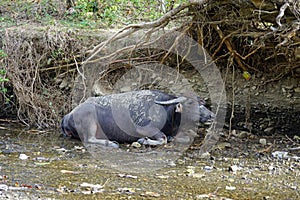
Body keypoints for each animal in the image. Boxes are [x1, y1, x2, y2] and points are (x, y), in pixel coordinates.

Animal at [61, 90, 214, 148]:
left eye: (202, 103)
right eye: (191, 103)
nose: (211, 115)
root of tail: (67, 116)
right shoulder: (145, 128)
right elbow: (163, 138)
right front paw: (143, 140)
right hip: (90, 121)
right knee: (89, 139)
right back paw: (112, 143)